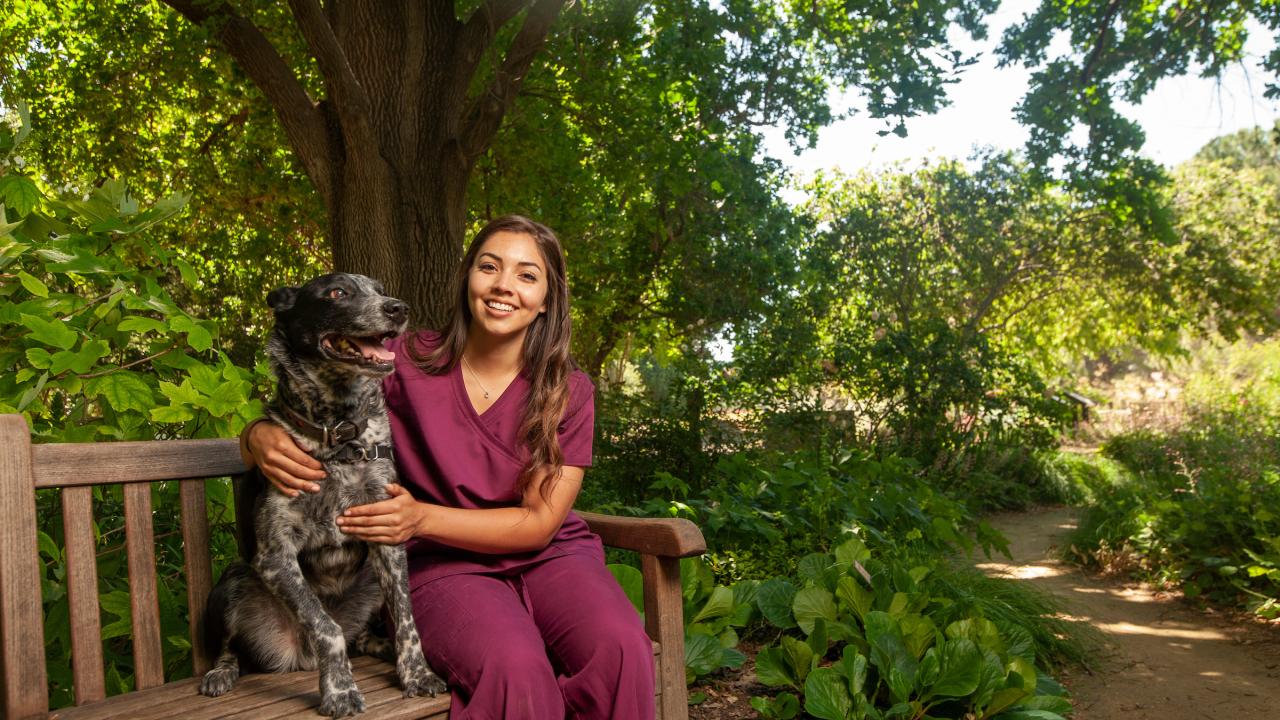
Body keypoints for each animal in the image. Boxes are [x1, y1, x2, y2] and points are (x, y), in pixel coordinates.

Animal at [195, 272, 445, 712]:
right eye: (337, 292)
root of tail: (299, 657)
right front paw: (340, 689)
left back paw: (378, 644)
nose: (398, 308)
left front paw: (417, 674)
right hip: (232, 581)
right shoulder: (275, 557)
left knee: (360, 634)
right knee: (231, 648)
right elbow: (325, 627)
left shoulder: (388, 540)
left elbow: (406, 618)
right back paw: (220, 674)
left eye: (380, 291)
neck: (338, 434)